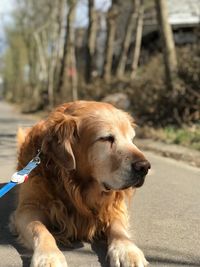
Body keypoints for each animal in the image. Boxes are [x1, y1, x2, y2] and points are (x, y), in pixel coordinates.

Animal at [9, 101, 150, 267]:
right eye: (106, 138)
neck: (74, 186)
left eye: (132, 139)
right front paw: (48, 256)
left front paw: (127, 250)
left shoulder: (115, 207)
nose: (144, 167)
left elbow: (118, 229)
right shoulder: (27, 208)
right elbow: (39, 228)